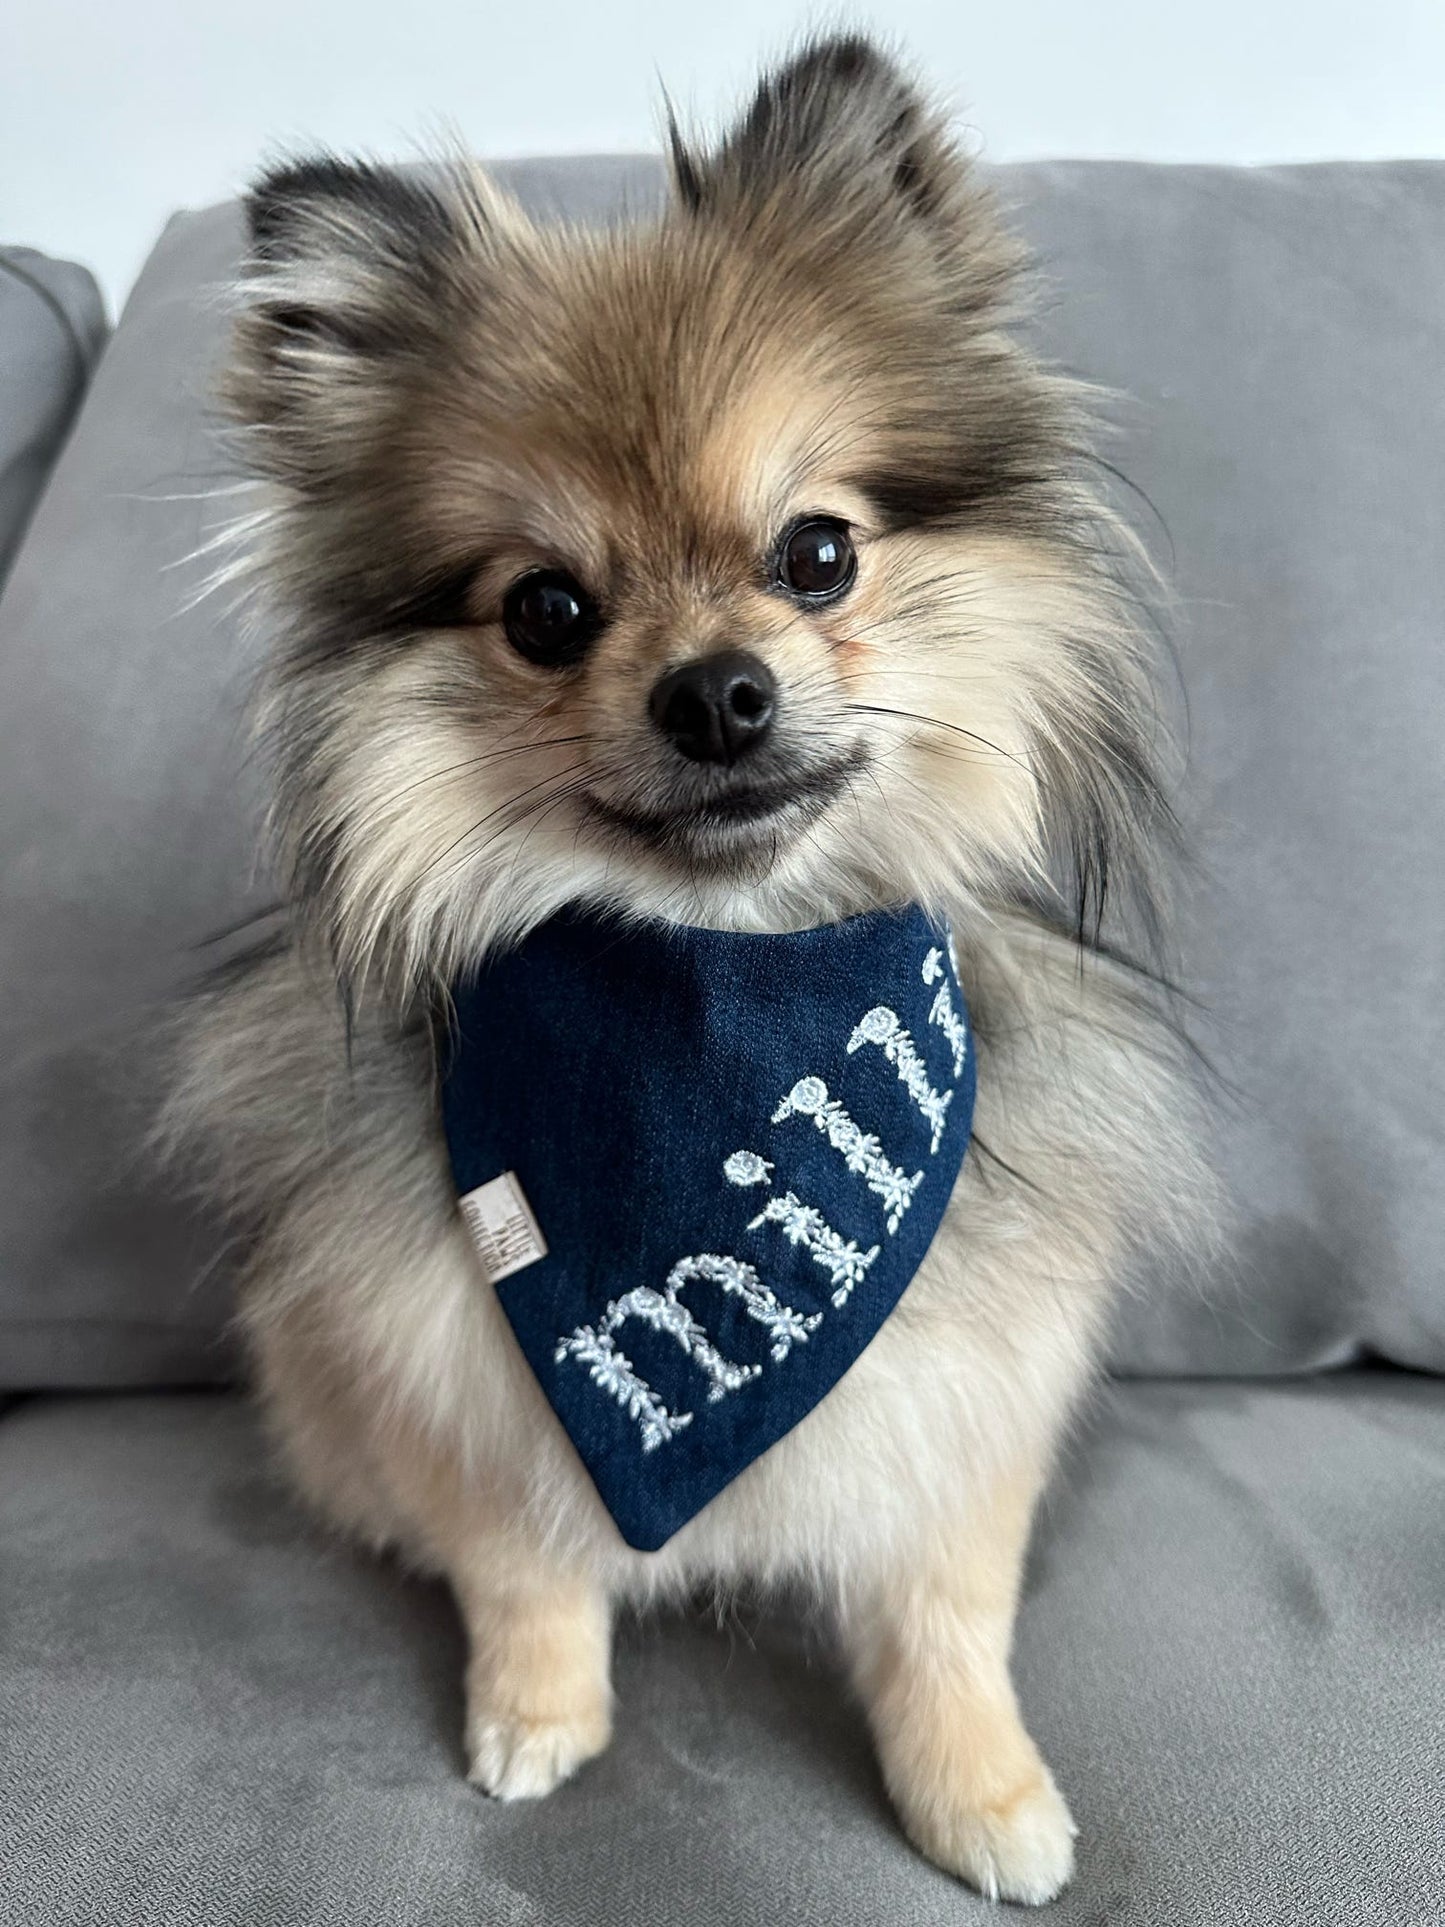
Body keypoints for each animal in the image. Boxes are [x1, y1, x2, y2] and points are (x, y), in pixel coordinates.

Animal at [163, 33, 1217, 1911]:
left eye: (818, 551)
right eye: (548, 610)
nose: (718, 690)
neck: (716, 992)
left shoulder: (960, 1399)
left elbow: (945, 1619)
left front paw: (982, 1793)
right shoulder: (460, 1371)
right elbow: (522, 1567)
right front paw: (534, 1718)